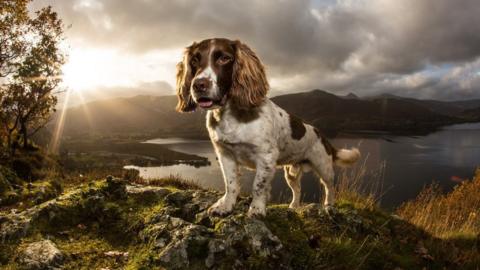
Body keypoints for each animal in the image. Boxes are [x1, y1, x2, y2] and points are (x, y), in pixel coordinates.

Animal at [174, 38, 358, 217]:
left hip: (323, 166)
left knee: (330, 187)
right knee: (297, 189)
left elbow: (258, 185)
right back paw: (294, 206)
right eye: (194, 60)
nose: (199, 85)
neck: (232, 115)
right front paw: (225, 206)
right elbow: (230, 183)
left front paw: (256, 209)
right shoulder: (225, 154)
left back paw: (329, 206)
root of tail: (323, 136)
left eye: (224, 58)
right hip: (290, 173)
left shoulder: (266, 156)